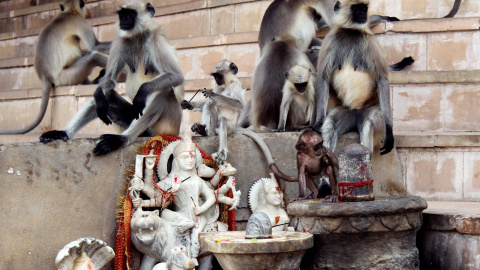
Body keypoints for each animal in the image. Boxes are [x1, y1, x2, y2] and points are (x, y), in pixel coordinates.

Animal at [0, 0, 109, 134]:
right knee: (93, 56)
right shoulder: (79, 21)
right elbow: (94, 46)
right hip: (66, 77)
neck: (68, 12)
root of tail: (44, 76)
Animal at [39, 0, 184, 156]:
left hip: (166, 126)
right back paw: (63, 133)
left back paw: (122, 139)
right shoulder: (120, 42)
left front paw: (142, 91)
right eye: (122, 15)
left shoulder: (155, 40)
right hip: (130, 118)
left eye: (130, 14)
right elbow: (108, 81)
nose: (124, 20)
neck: (137, 36)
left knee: (165, 90)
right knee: (106, 95)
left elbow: (176, 76)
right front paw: (98, 93)